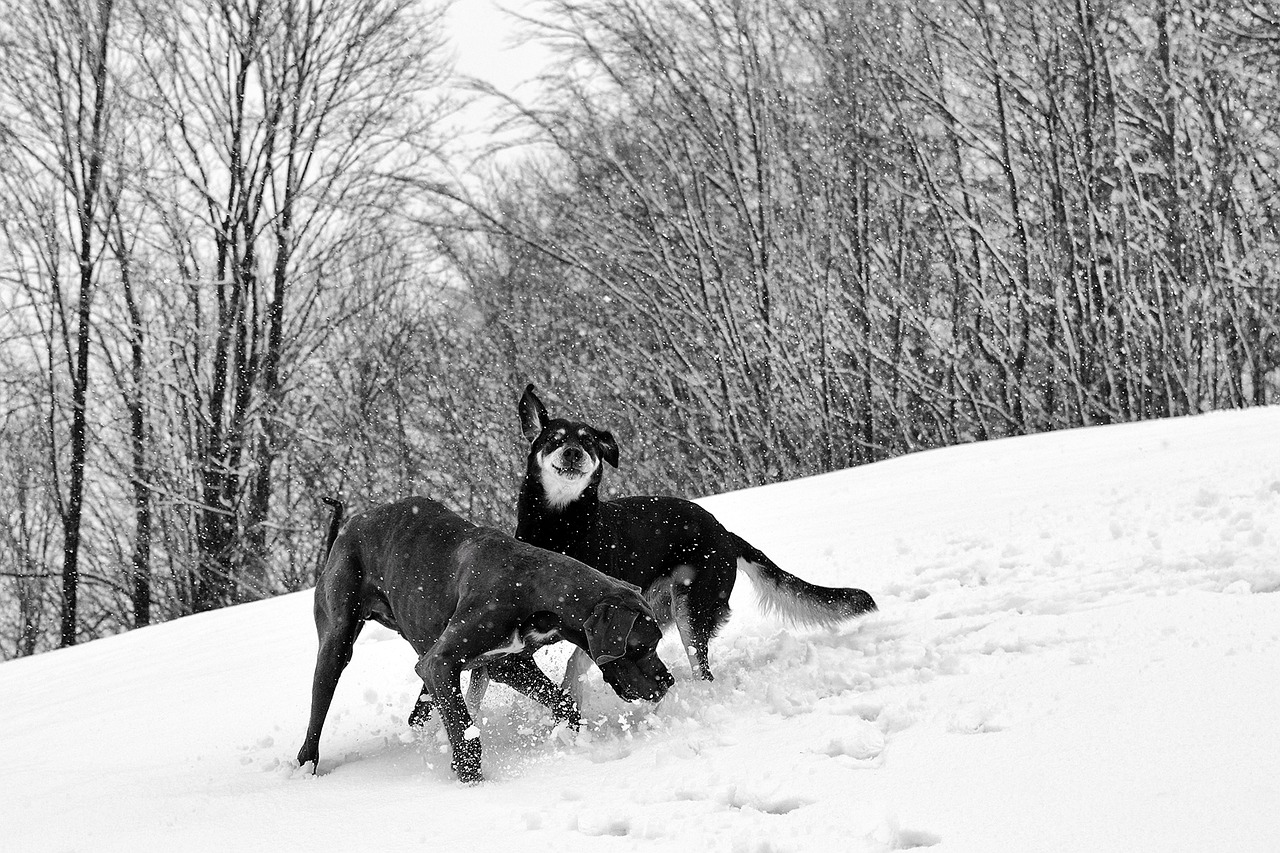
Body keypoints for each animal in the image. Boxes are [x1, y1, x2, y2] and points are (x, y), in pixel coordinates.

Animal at [296, 494, 680, 778]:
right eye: (644, 646)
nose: (669, 681)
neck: (535, 587)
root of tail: (350, 524)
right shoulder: (439, 664)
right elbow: (465, 731)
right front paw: (472, 780)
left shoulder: (506, 664)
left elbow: (563, 702)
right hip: (336, 643)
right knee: (316, 713)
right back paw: (306, 766)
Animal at [514, 384, 875, 686]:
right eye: (554, 439)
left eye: (588, 442)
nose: (573, 452)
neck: (561, 526)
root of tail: (725, 533)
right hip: (661, 608)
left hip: (692, 607)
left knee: (701, 668)